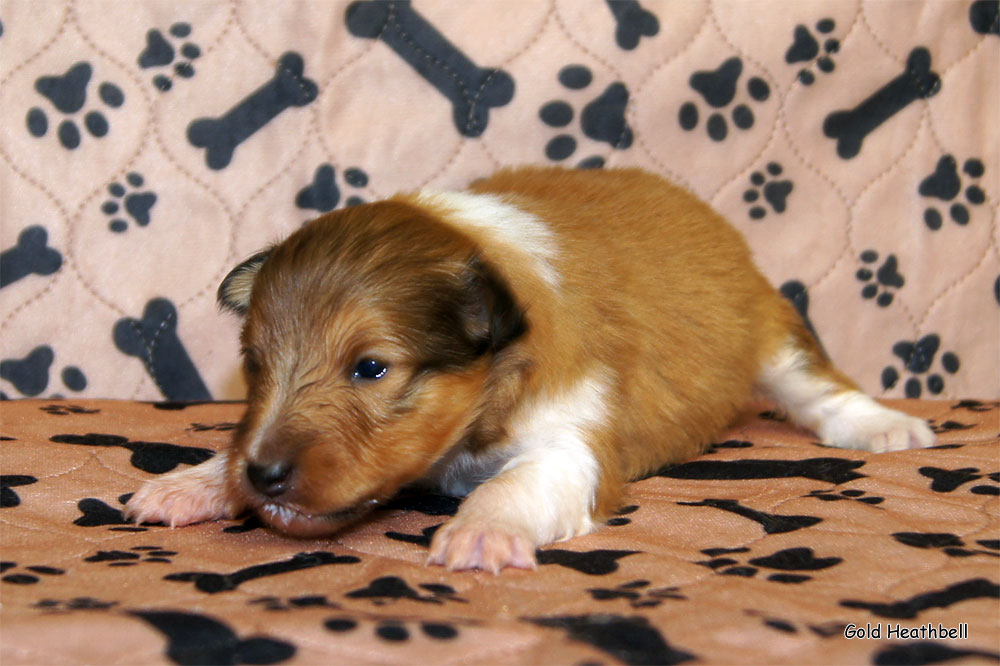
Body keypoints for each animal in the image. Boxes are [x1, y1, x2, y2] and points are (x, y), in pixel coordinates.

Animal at [127, 166, 936, 572]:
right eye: (255, 363)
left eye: (370, 368)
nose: (264, 477)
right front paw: (194, 483)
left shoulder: (573, 443)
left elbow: (516, 483)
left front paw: (481, 534)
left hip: (770, 332)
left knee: (820, 388)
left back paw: (887, 427)